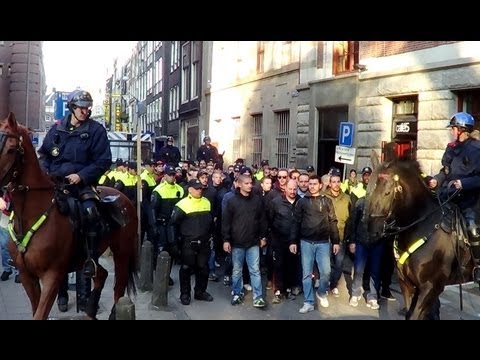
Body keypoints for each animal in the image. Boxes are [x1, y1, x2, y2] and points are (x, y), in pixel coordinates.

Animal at [0, 113, 139, 320]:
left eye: (10, 149)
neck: (30, 215)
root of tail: (124, 197)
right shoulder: (26, 276)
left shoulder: (53, 275)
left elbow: (40, 313)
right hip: (88, 257)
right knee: (101, 275)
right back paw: (90, 311)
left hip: (122, 251)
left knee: (119, 288)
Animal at [364, 159, 472, 320]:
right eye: (369, 189)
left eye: (387, 192)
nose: (372, 231)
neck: (421, 224)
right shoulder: (407, 284)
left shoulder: (430, 287)